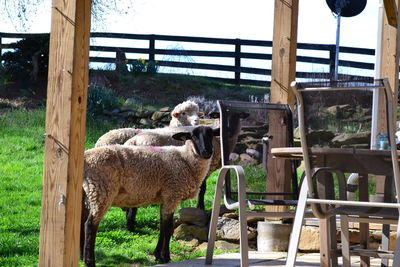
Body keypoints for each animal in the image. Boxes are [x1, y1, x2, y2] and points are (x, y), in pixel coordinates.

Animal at [80, 126, 219, 266]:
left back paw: (81, 256)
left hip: (86, 194)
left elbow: (162, 227)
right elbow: (168, 229)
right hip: (101, 191)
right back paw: (89, 261)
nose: (207, 151)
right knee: (90, 225)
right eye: (193, 136)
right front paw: (166, 257)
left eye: (211, 135)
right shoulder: (172, 195)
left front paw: (158, 255)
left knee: (81, 222)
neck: (186, 160)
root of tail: (86, 157)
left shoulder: (165, 198)